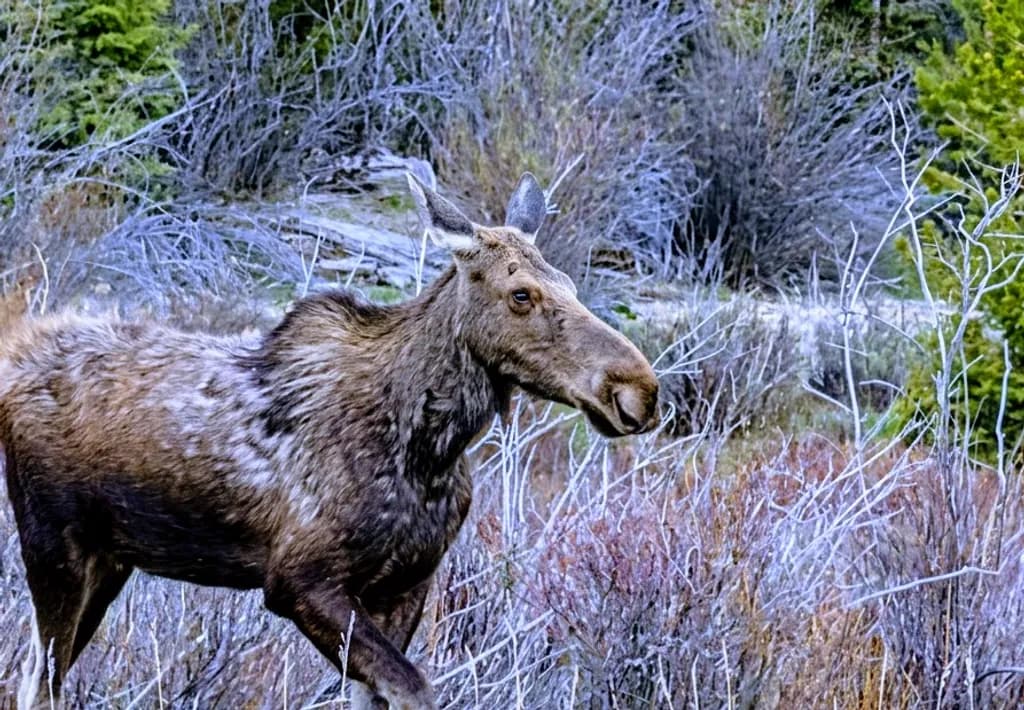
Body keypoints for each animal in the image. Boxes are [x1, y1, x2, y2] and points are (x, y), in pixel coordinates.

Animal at [0, 172, 660, 709]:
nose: (637, 388)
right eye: (521, 293)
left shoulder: (406, 583)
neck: (429, 450)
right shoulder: (298, 580)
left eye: (569, 281)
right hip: (55, 546)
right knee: (40, 683)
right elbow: (414, 688)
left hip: (112, 559)